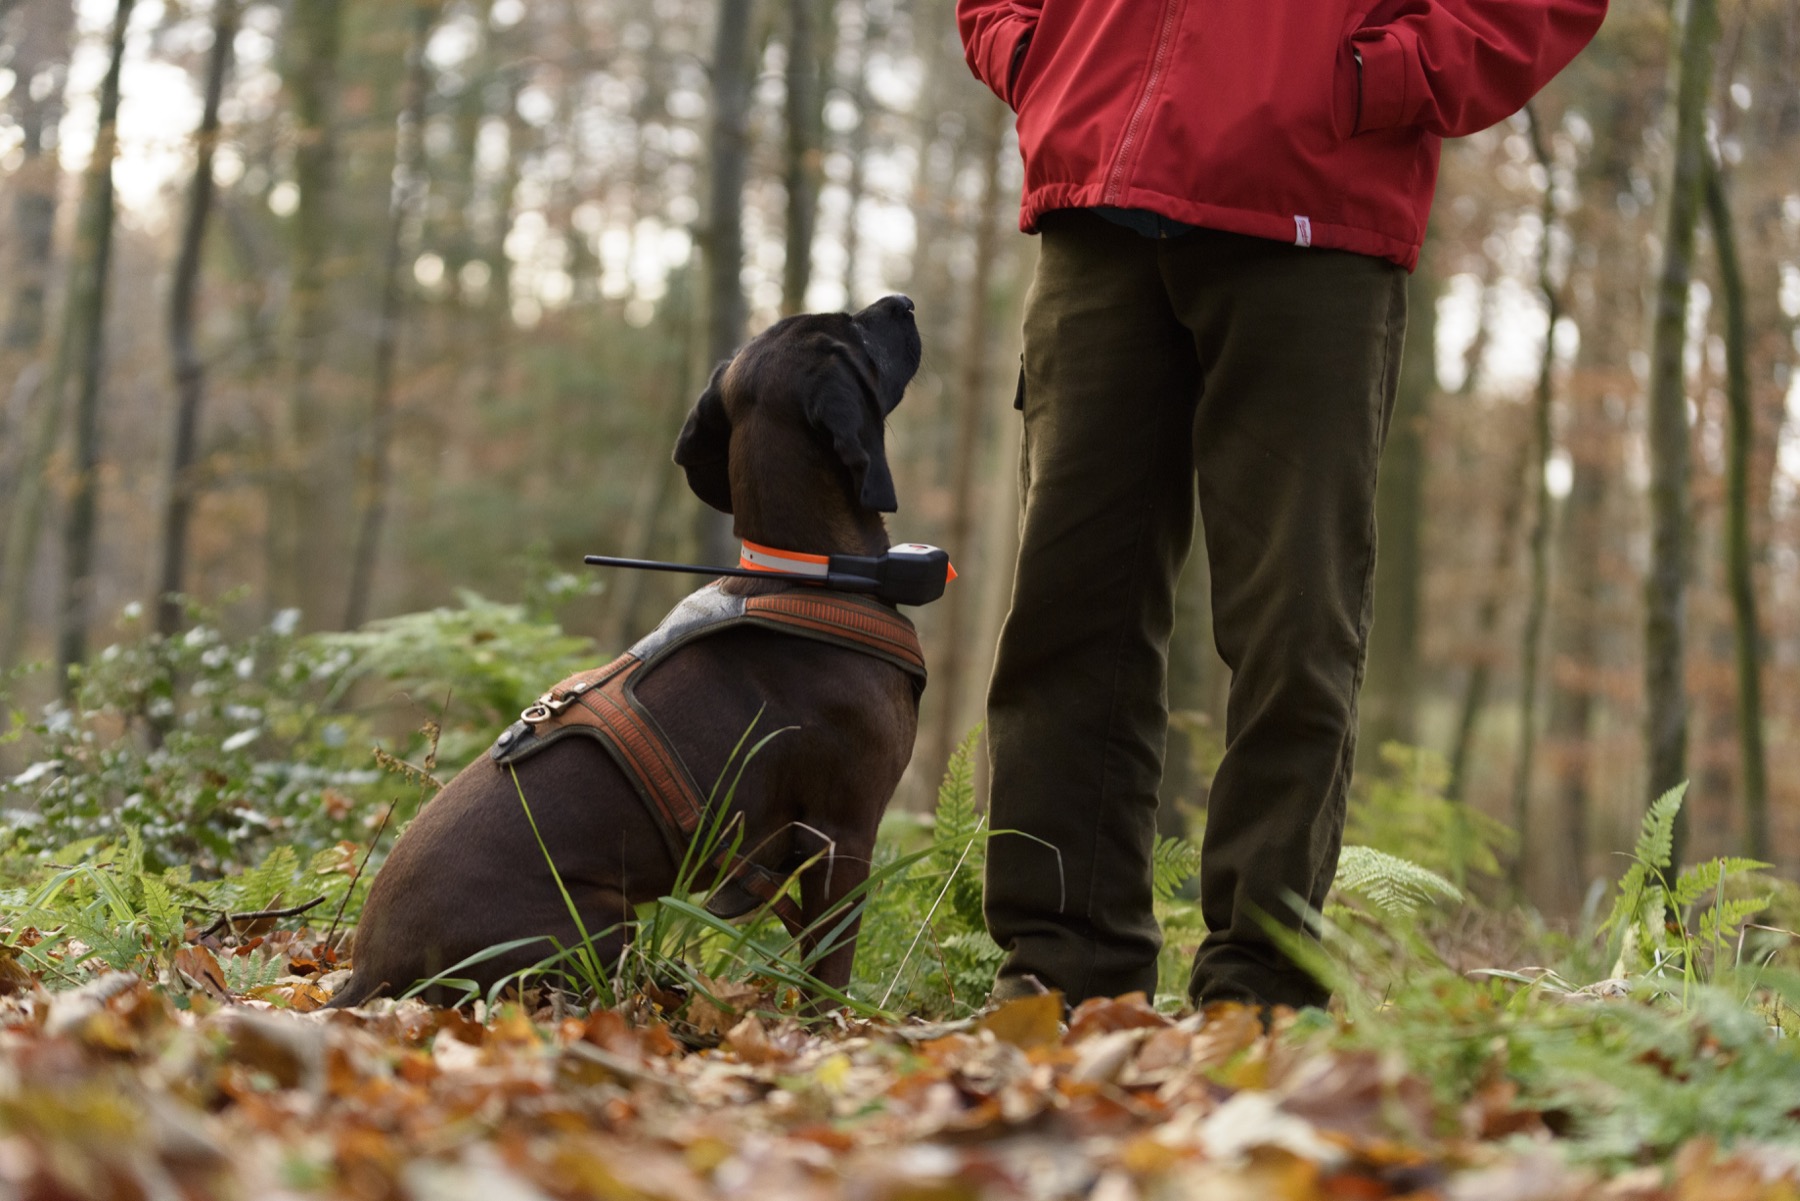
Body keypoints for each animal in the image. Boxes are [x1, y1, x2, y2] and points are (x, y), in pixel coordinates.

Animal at [325, 295, 936, 1008]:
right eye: (855, 330)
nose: (904, 302)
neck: (809, 576)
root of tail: (367, 973)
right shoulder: (844, 831)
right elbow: (829, 969)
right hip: (598, 922)